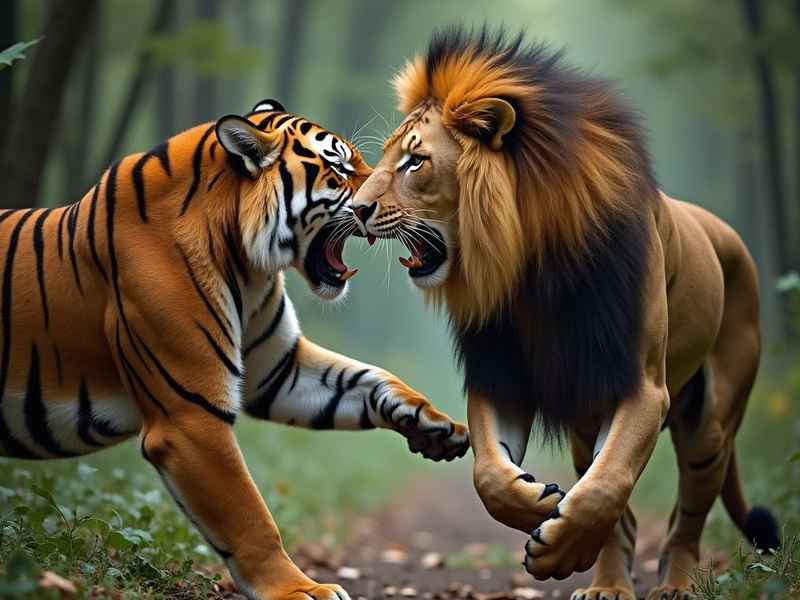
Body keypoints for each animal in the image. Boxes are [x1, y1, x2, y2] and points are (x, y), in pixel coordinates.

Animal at [0, 99, 469, 600]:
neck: (247, 265)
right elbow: (250, 517)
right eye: (341, 168)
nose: (378, 205)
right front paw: (299, 589)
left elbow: (366, 378)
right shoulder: (191, 417)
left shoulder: (278, 370)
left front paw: (436, 425)